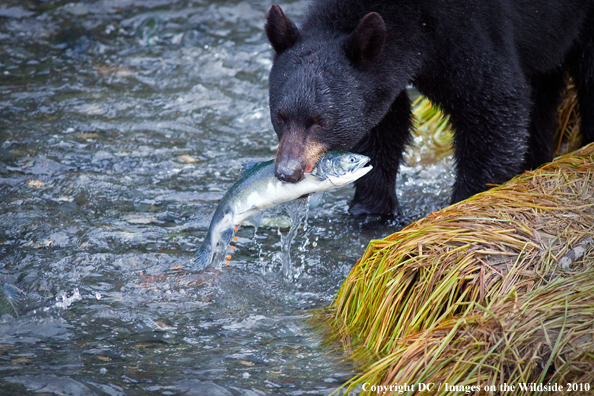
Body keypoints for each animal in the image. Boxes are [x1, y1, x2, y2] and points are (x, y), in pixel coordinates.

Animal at [264, 0, 592, 217]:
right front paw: (370, 209)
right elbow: (384, 125)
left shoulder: (470, 33)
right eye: (280, 116)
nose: (287, 172)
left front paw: (465, 203)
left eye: (321, 121)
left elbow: (496, 107)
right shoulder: (383, 75)